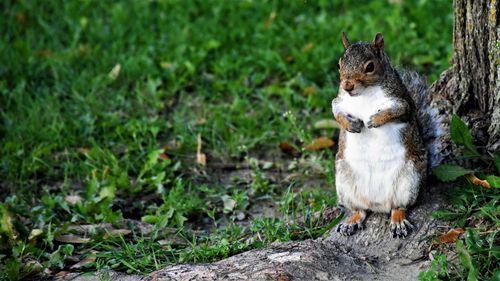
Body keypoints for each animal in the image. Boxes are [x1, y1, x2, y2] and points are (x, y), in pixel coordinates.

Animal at [330, 33, 444, 238]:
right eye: (339, 64)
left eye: (370, 67)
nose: (347, 86)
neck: (364, 94)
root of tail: (378, 205)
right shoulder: (340, 101)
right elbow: (335, 112)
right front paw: (350, 124)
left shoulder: (402, 103)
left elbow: (397, 111)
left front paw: (375, 120)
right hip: (344, 183)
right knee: (361, 210)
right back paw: (352, 221)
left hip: (410, 180)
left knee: (399, 207)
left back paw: (398, 221)